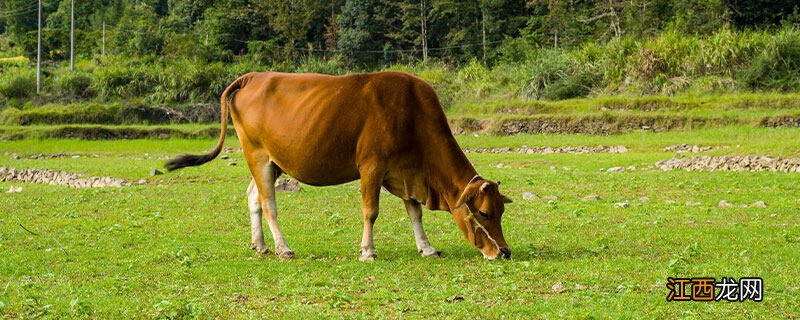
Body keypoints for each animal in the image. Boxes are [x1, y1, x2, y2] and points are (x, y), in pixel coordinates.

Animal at [166, 71, 512, 262]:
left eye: (501, 211)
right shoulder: (372, 166)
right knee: (268, 203)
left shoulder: (406, 172)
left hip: (273, 161)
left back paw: (260, 246)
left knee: (253, 197)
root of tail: (251, 77)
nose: (504, 252)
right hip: (258, 155)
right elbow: (370, 212)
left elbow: (415, 213)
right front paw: (368, 251)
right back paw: (282, 248)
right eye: (484, 213)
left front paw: (427, 248)